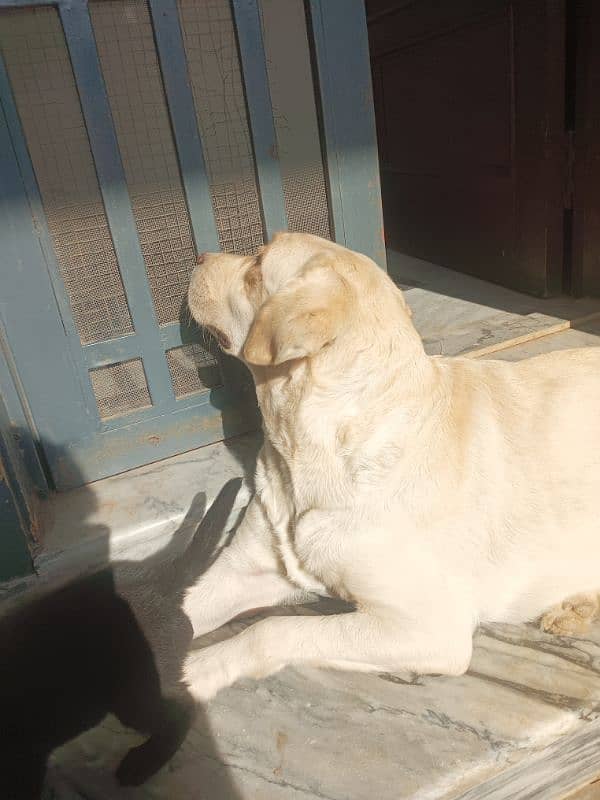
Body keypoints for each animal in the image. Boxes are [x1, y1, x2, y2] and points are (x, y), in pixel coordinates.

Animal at [183, 230, 600, 700]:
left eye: (256, 267)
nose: (197, 257)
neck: (310, 447)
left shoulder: (429, 627)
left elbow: (272, 629)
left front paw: (196, 669)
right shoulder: (241, 571)